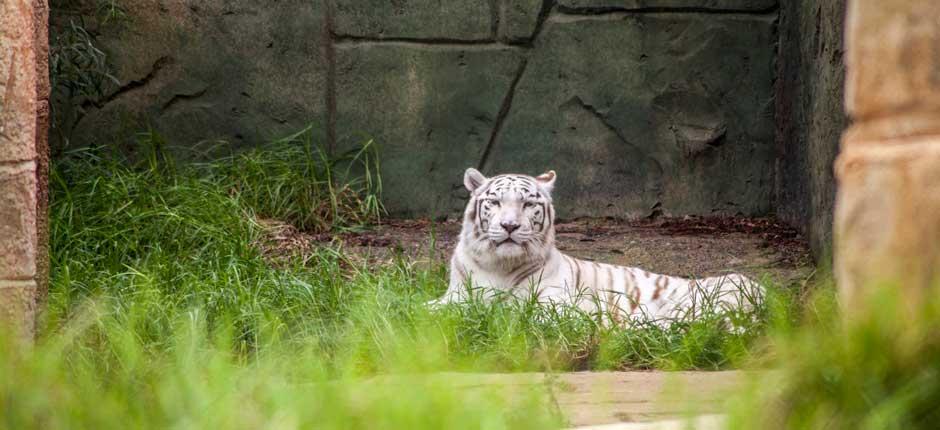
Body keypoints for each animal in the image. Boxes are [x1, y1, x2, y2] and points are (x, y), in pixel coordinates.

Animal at [434, 168, 764, 326]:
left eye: (527, 204)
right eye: (495, 202)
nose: (510, 226)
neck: (497, 264)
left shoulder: (552, 305)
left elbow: (511, 311)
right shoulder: (454, 296)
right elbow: (430, 308)